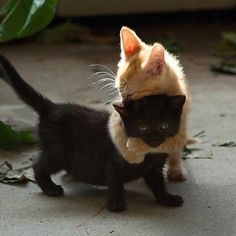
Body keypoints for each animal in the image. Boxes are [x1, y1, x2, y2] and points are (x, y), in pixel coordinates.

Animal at [0, 55, 184, 212]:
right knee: (38, 167)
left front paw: (167, 199)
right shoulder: (113, 162)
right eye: (142, 127)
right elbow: (115, 183)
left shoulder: (155, 168)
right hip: (57, 152)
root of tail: (51, 107)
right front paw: (116, 203)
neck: (147, 153)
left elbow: (158, 185)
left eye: (164, 126)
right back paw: (51, 189)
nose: (154, 138)